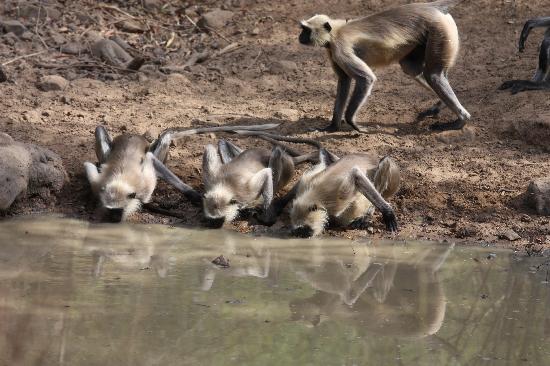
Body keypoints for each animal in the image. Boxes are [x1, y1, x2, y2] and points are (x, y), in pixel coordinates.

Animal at [84, 123, 280, 222]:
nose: (113, 218)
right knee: (99, 128)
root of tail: (134, 136)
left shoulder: (144, 183)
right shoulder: (99, 183)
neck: (120, 177)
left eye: (118, 211)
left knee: (165, 137)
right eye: (111, 211)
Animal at [300, 0, 472, 132]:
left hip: (439, 30)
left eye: (306, 30)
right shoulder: (332, 51)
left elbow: (366, 79)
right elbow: (344, 81)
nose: (300, 37)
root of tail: (429, 7)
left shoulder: (339, 47)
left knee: (434, 75)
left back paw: (461, 120)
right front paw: (332, 127)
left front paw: (352, 123)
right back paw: (439, 106)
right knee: (412, 68)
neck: (336, 31)